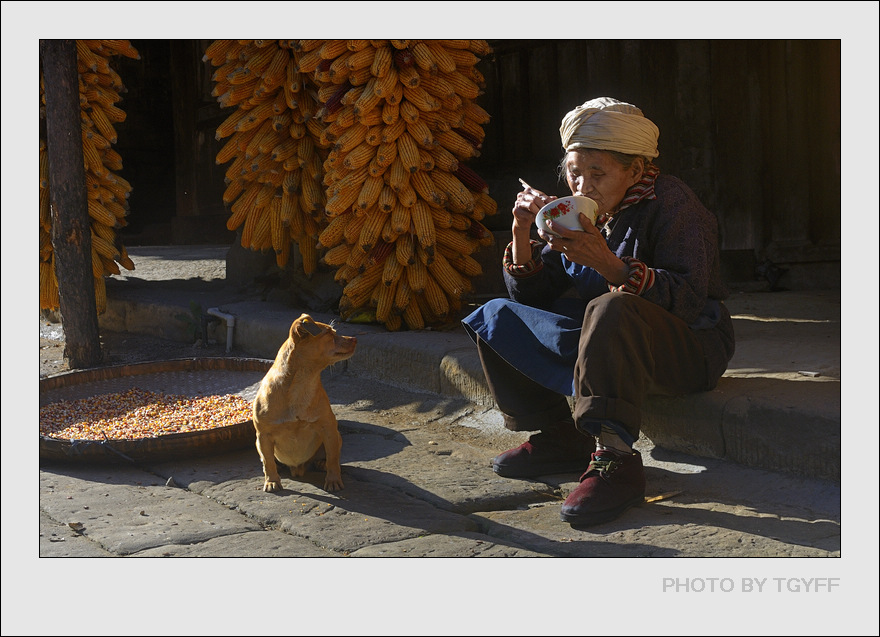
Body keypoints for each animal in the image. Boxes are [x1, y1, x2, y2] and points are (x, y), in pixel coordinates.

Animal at [249, 314, 356, 492]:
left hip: (337, 437)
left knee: (329, 457)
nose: (354, 338)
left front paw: (333, 480)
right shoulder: (264, 435)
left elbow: (333, 459)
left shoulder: (329, 430)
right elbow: (269, 462)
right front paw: (272, 481)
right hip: (258, 443)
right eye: (330, 334)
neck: (303, 382)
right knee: (267, 460)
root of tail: (297, 468)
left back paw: (321, 463)